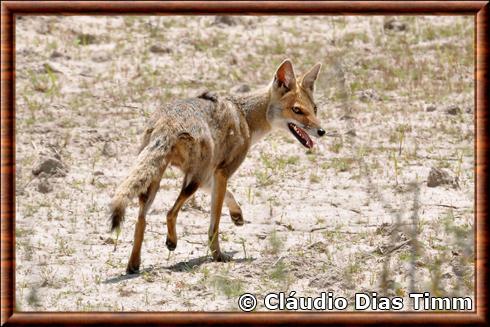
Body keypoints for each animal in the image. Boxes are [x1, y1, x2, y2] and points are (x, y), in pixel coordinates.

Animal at [110, 59, 326, 274]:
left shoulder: (211, 174)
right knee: (170, 213)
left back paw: (133, 264)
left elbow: (230, 196)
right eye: (297, 110)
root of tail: (167, 122)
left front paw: (237, 215)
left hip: (161, 182)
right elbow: (214, 225)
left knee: (141, 220)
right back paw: (172, 242)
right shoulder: (221, 172)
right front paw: (218, 255)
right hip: (192, 180)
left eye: (314, 109)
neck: (246, 117)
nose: (322, 131)